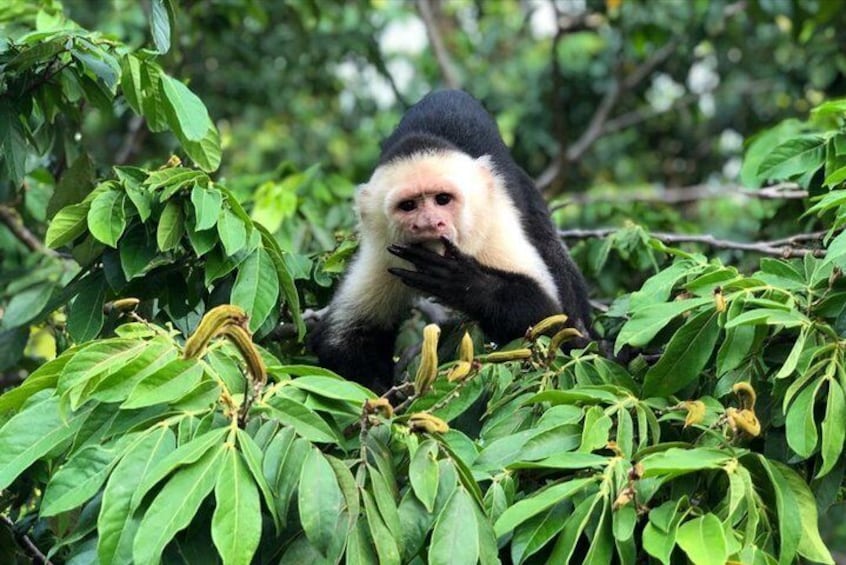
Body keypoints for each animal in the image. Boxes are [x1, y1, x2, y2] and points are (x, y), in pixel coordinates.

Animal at [308, 90, 592, 390]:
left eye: (442, 199)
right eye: (408, 206)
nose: (429, 223)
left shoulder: (490, 230)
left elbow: (550, 319)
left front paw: (464, 283)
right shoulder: (383, 252)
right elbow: (342, 341)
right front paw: (380, 393)